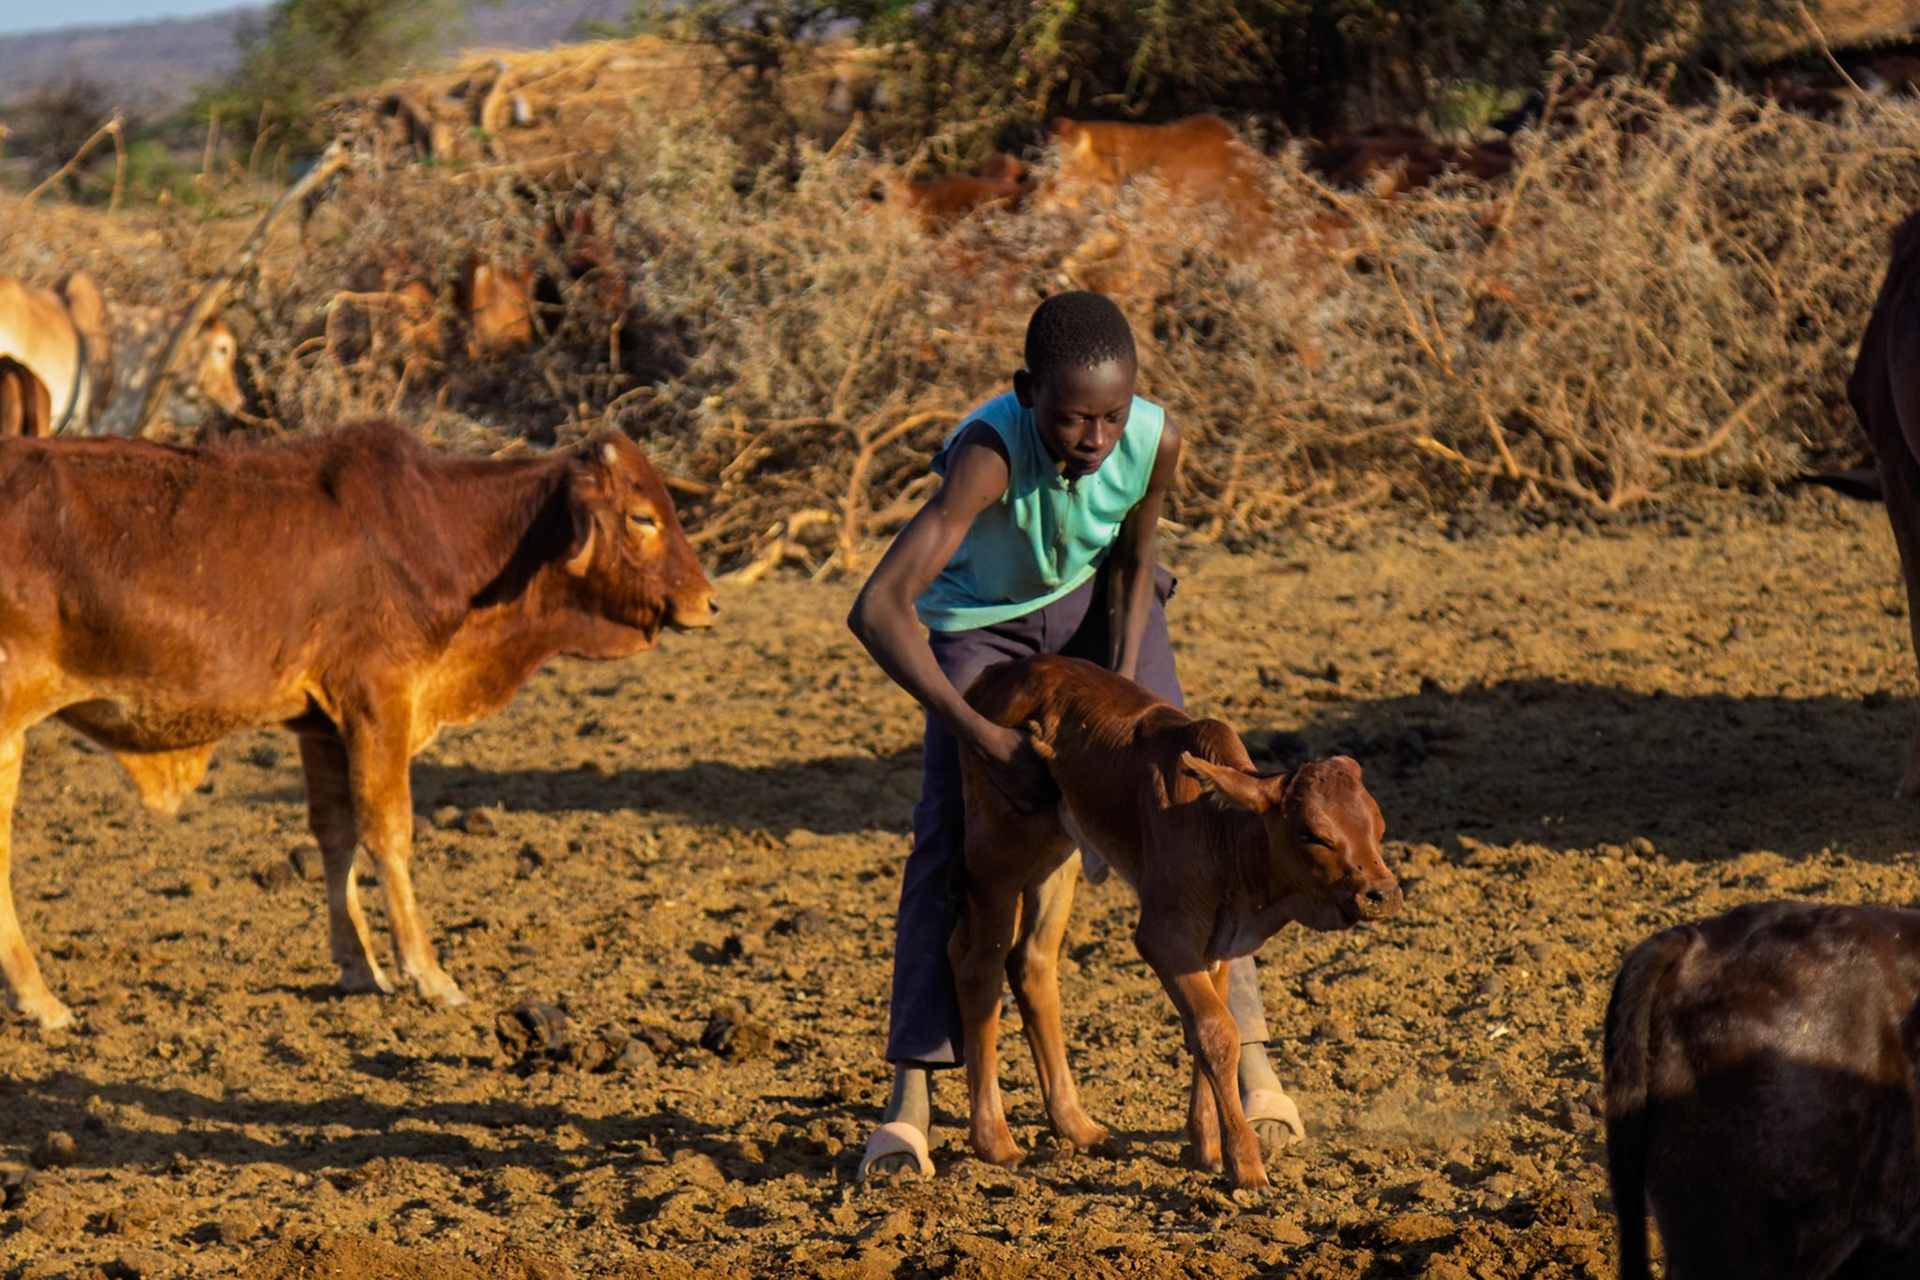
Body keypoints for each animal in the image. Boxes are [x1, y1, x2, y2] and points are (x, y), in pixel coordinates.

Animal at [0, 421, 717, 1030]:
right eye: (644, 518)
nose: (709, 602)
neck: (453, 536)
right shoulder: (379, 700)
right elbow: (388, 830)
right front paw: (428, 973)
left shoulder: (319, 724)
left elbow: (336, 833)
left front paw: (358, 966)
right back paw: (42, 1002)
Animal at [951, 655, 1399, 1190]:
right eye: (1312, 833)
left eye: (1378, 825)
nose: (1382, 893)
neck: (1216, 822)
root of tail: (999, 672)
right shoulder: (1164, 936)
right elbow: (1216, 1031)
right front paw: (1246, 1166)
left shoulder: (1216, 943)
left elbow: (1207, 1030)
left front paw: (1207, 1148)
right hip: (996, 850)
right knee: (979, 969)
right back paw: (995, 1140)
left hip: (1057, 855)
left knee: (1032, 963)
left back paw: (1076, 1126)